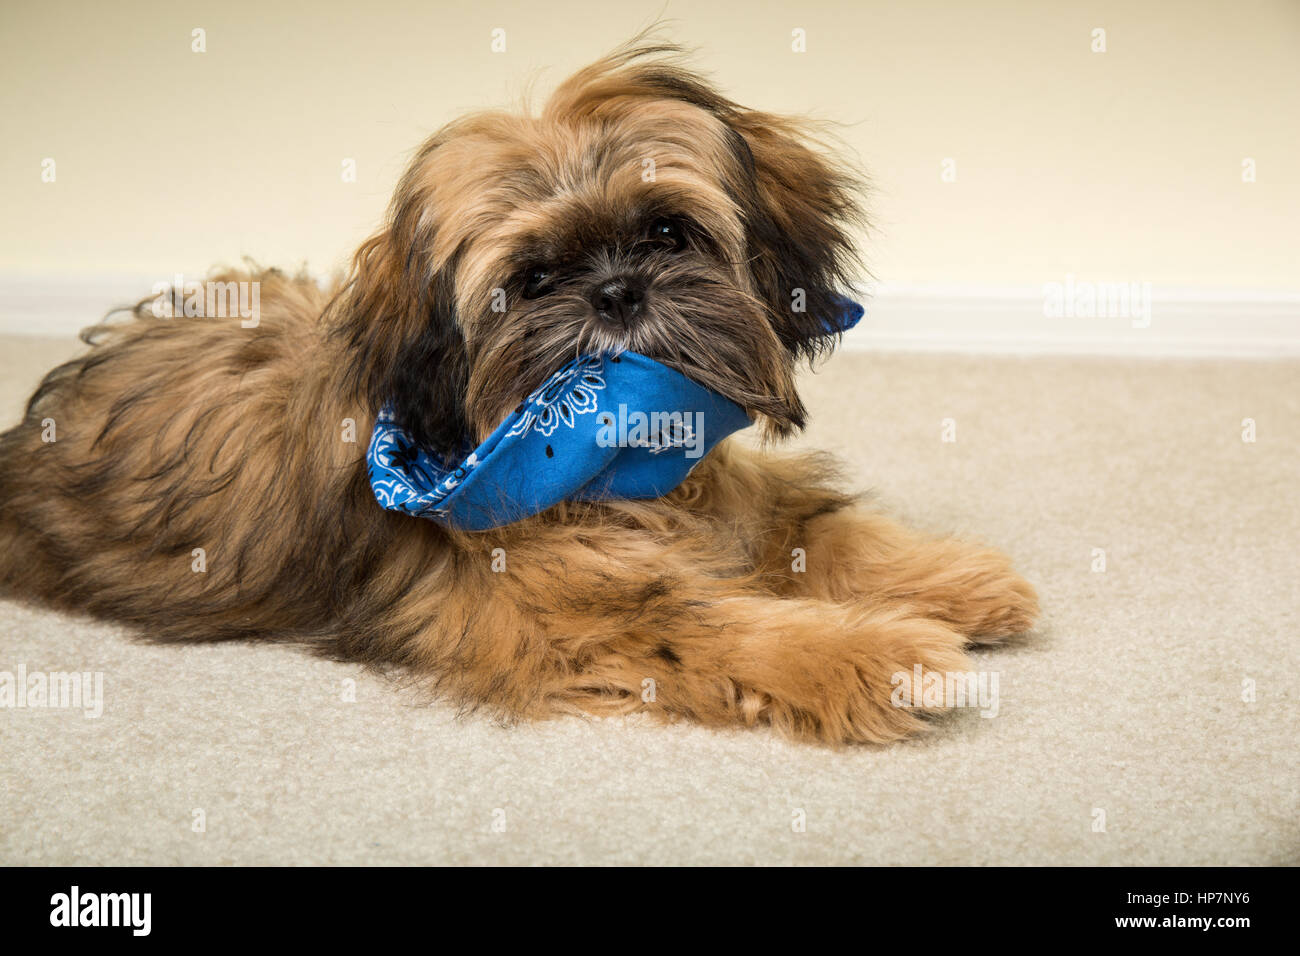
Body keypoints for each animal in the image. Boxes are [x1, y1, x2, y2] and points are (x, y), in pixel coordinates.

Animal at [0, 41, 1034, 749]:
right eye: (532, 281)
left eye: (667, 232)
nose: (617, 293)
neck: (612, 462)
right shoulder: (576, 617)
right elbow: (727, 627)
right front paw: (884, 657)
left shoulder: (725, 495)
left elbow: (814, 526)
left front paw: (956, 581)